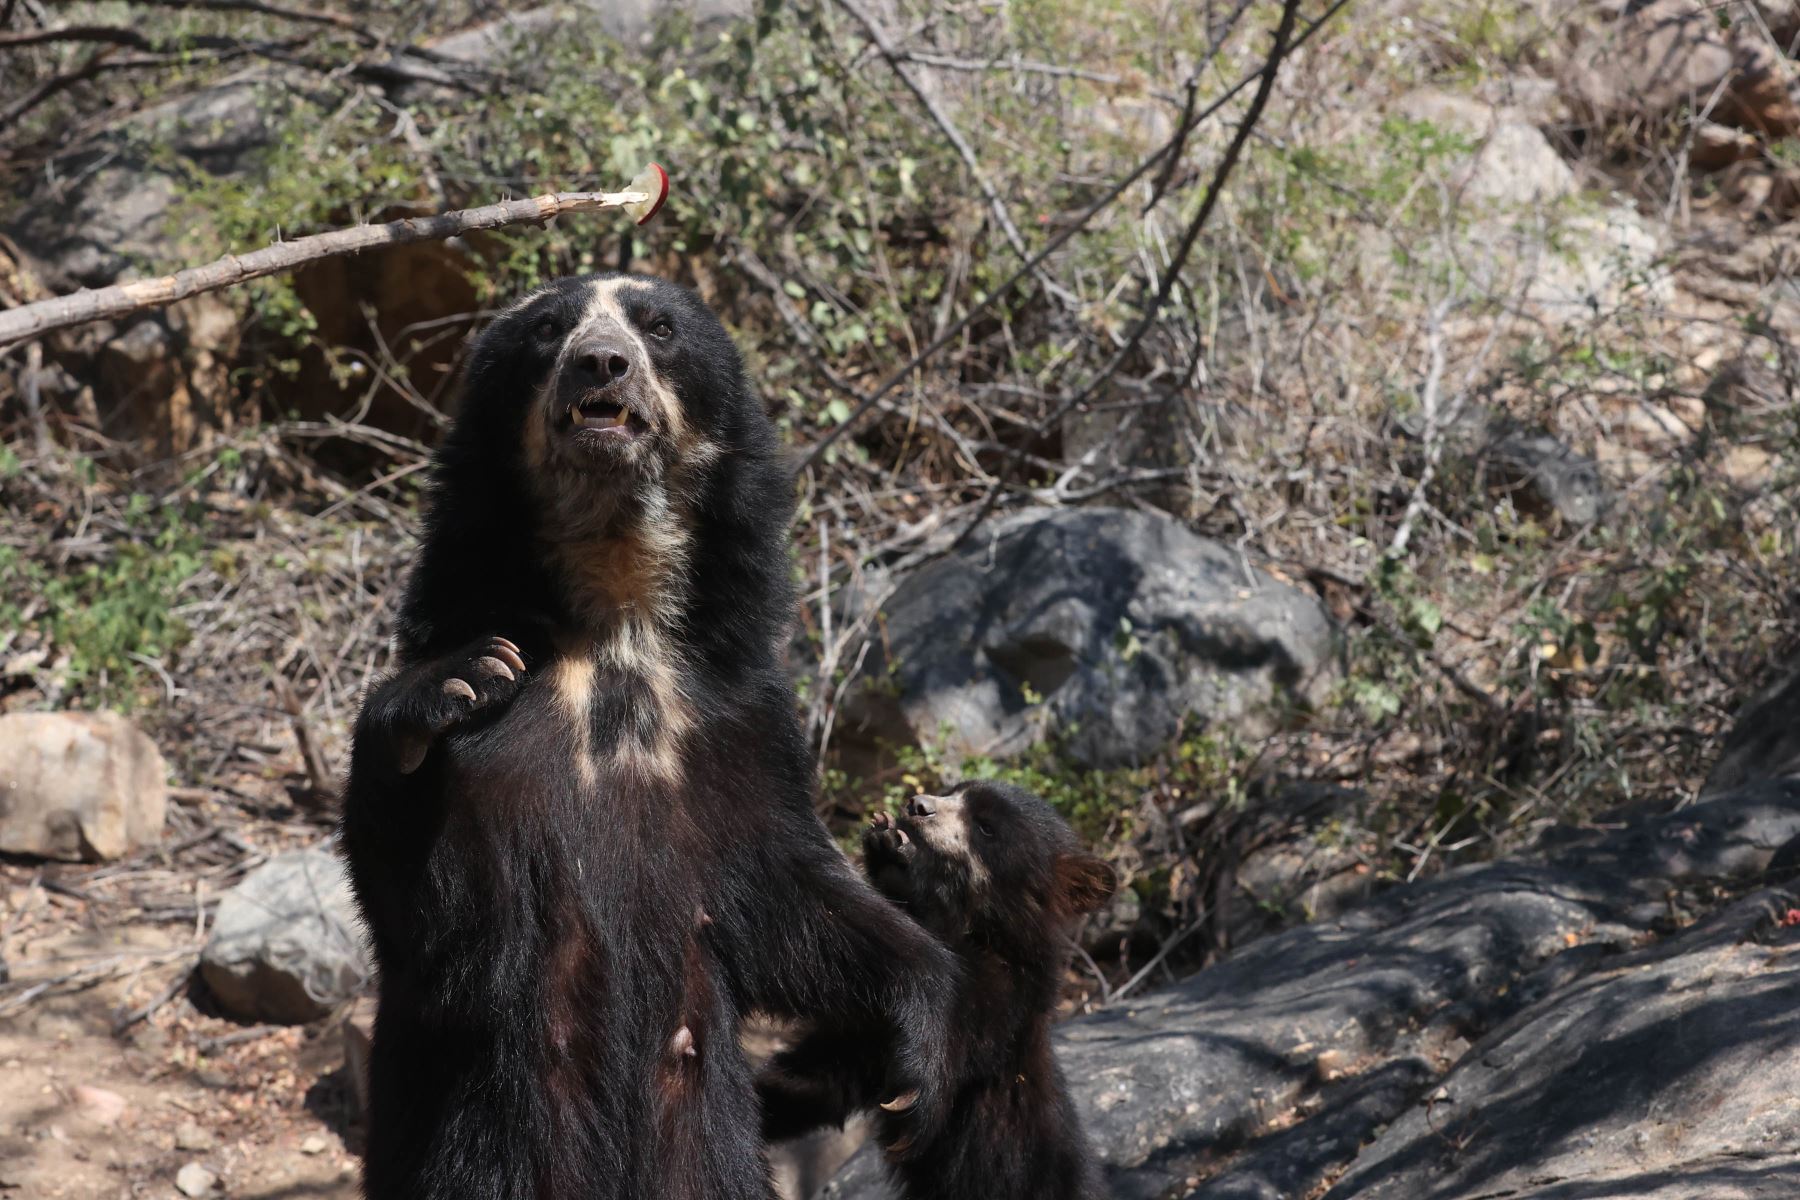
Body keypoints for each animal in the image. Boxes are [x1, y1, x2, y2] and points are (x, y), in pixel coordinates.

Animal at [338, 275, 957, 1200]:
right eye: (548, 328)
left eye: (658, 328)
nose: (602, 363)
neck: (616, 617)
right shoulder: (492, 762)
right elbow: (432, 909)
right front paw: (450, 686)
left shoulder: (737, 721)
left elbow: (795, 892)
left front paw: (922, 1049)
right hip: (492, 1132)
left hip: (701, 1127)